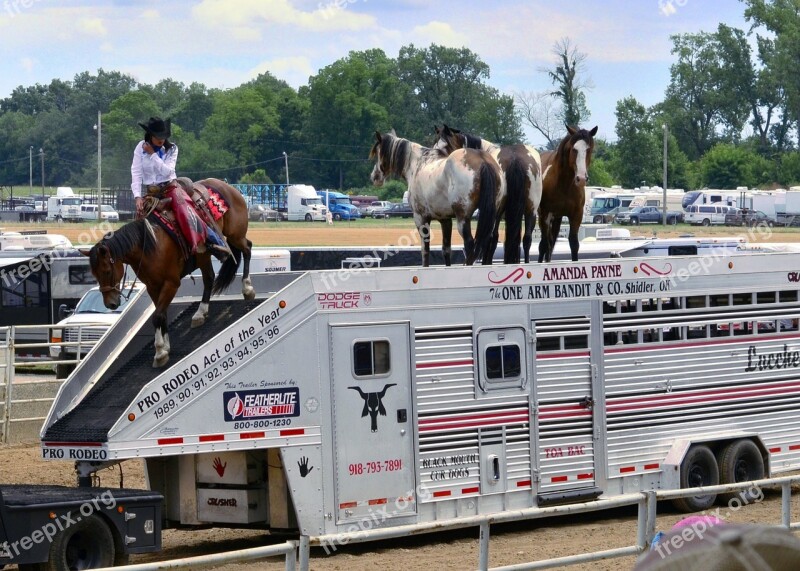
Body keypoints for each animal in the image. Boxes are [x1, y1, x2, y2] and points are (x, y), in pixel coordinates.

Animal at [79, 177, 255, 368]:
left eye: (107, 270)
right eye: (94, 274)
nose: (110, 304)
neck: (150, 243)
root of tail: (228, 187)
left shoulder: (171, 283)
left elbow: (157, 316)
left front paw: (159, 352)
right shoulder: (152, 286)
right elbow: (162, 314)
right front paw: (165, 347)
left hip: (235, 236)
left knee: (247, 249)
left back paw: (247, 288)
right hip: (204, 256)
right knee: (209, 278)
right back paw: (200, 313)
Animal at [368, 131, 500, 268]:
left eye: (379, 152)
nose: (374, 177)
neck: (417, 164)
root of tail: (482, 160)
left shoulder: (421, 218)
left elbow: (425, 250)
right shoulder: (445, 220)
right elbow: (446, 250)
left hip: (463, 219)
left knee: (470, 244)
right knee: (488, 241)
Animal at [434, 125, 548, 264]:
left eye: (445, 145)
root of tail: (515, 159)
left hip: (499, 212)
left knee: (492, 238)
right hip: (531, 210)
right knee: (526, 239)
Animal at [536, 125, 596, 264]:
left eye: (589, 150)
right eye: (574, 149)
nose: (581, 178)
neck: (564, 184)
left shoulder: (576, 215)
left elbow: (574, 244)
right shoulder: (545, 215)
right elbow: (543, 244)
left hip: (557, 218)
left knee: (551, 243)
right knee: (545, 244)